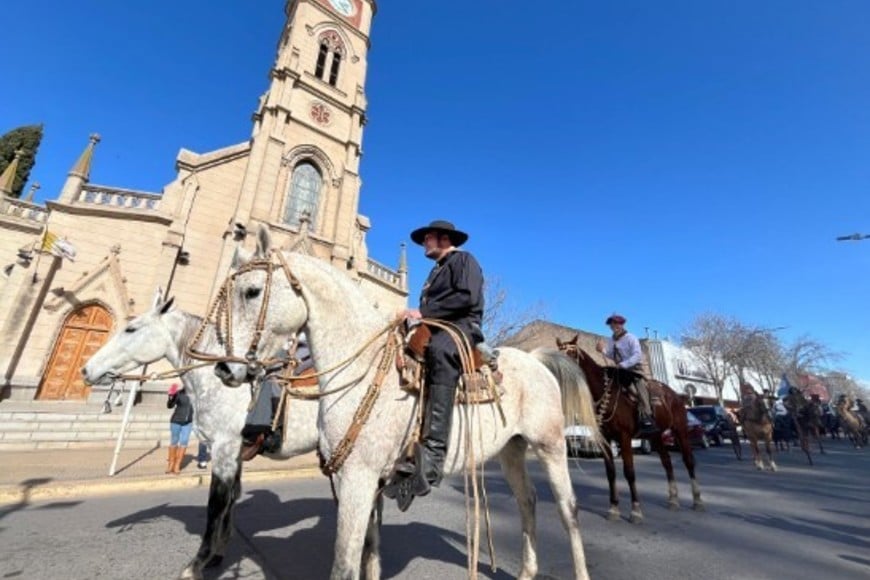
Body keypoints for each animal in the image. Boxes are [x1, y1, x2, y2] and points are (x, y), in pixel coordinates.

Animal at [79, 288, 320, 576]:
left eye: (131, 328)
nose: (86, 370)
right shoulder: (232, 453)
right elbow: (231, 499)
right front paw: (218, 554)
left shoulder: (224, 448)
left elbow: (215, 505)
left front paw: (196, 565)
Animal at [214, 229, 604, 580]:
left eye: (252, 291)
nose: (225, 368)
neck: (360, 367)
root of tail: (536, 360)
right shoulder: (357, 481)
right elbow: (369, 550)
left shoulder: (358, 477)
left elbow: (345, 562)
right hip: (512, 449)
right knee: (528, 502)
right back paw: (526, 571)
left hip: (550, 445)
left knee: (568, 509)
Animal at [564, 334, 704, 524]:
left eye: (571, 353)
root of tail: (674, 395)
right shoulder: (605, 439)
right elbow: (610, 473)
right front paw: (613, 508)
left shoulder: (624, 437)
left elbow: (629, 472)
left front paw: (636, 511)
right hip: (656, 436)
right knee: (667, 463)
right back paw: (673, 500)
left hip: (680, 430)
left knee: (688, 461)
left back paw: (697, 500)